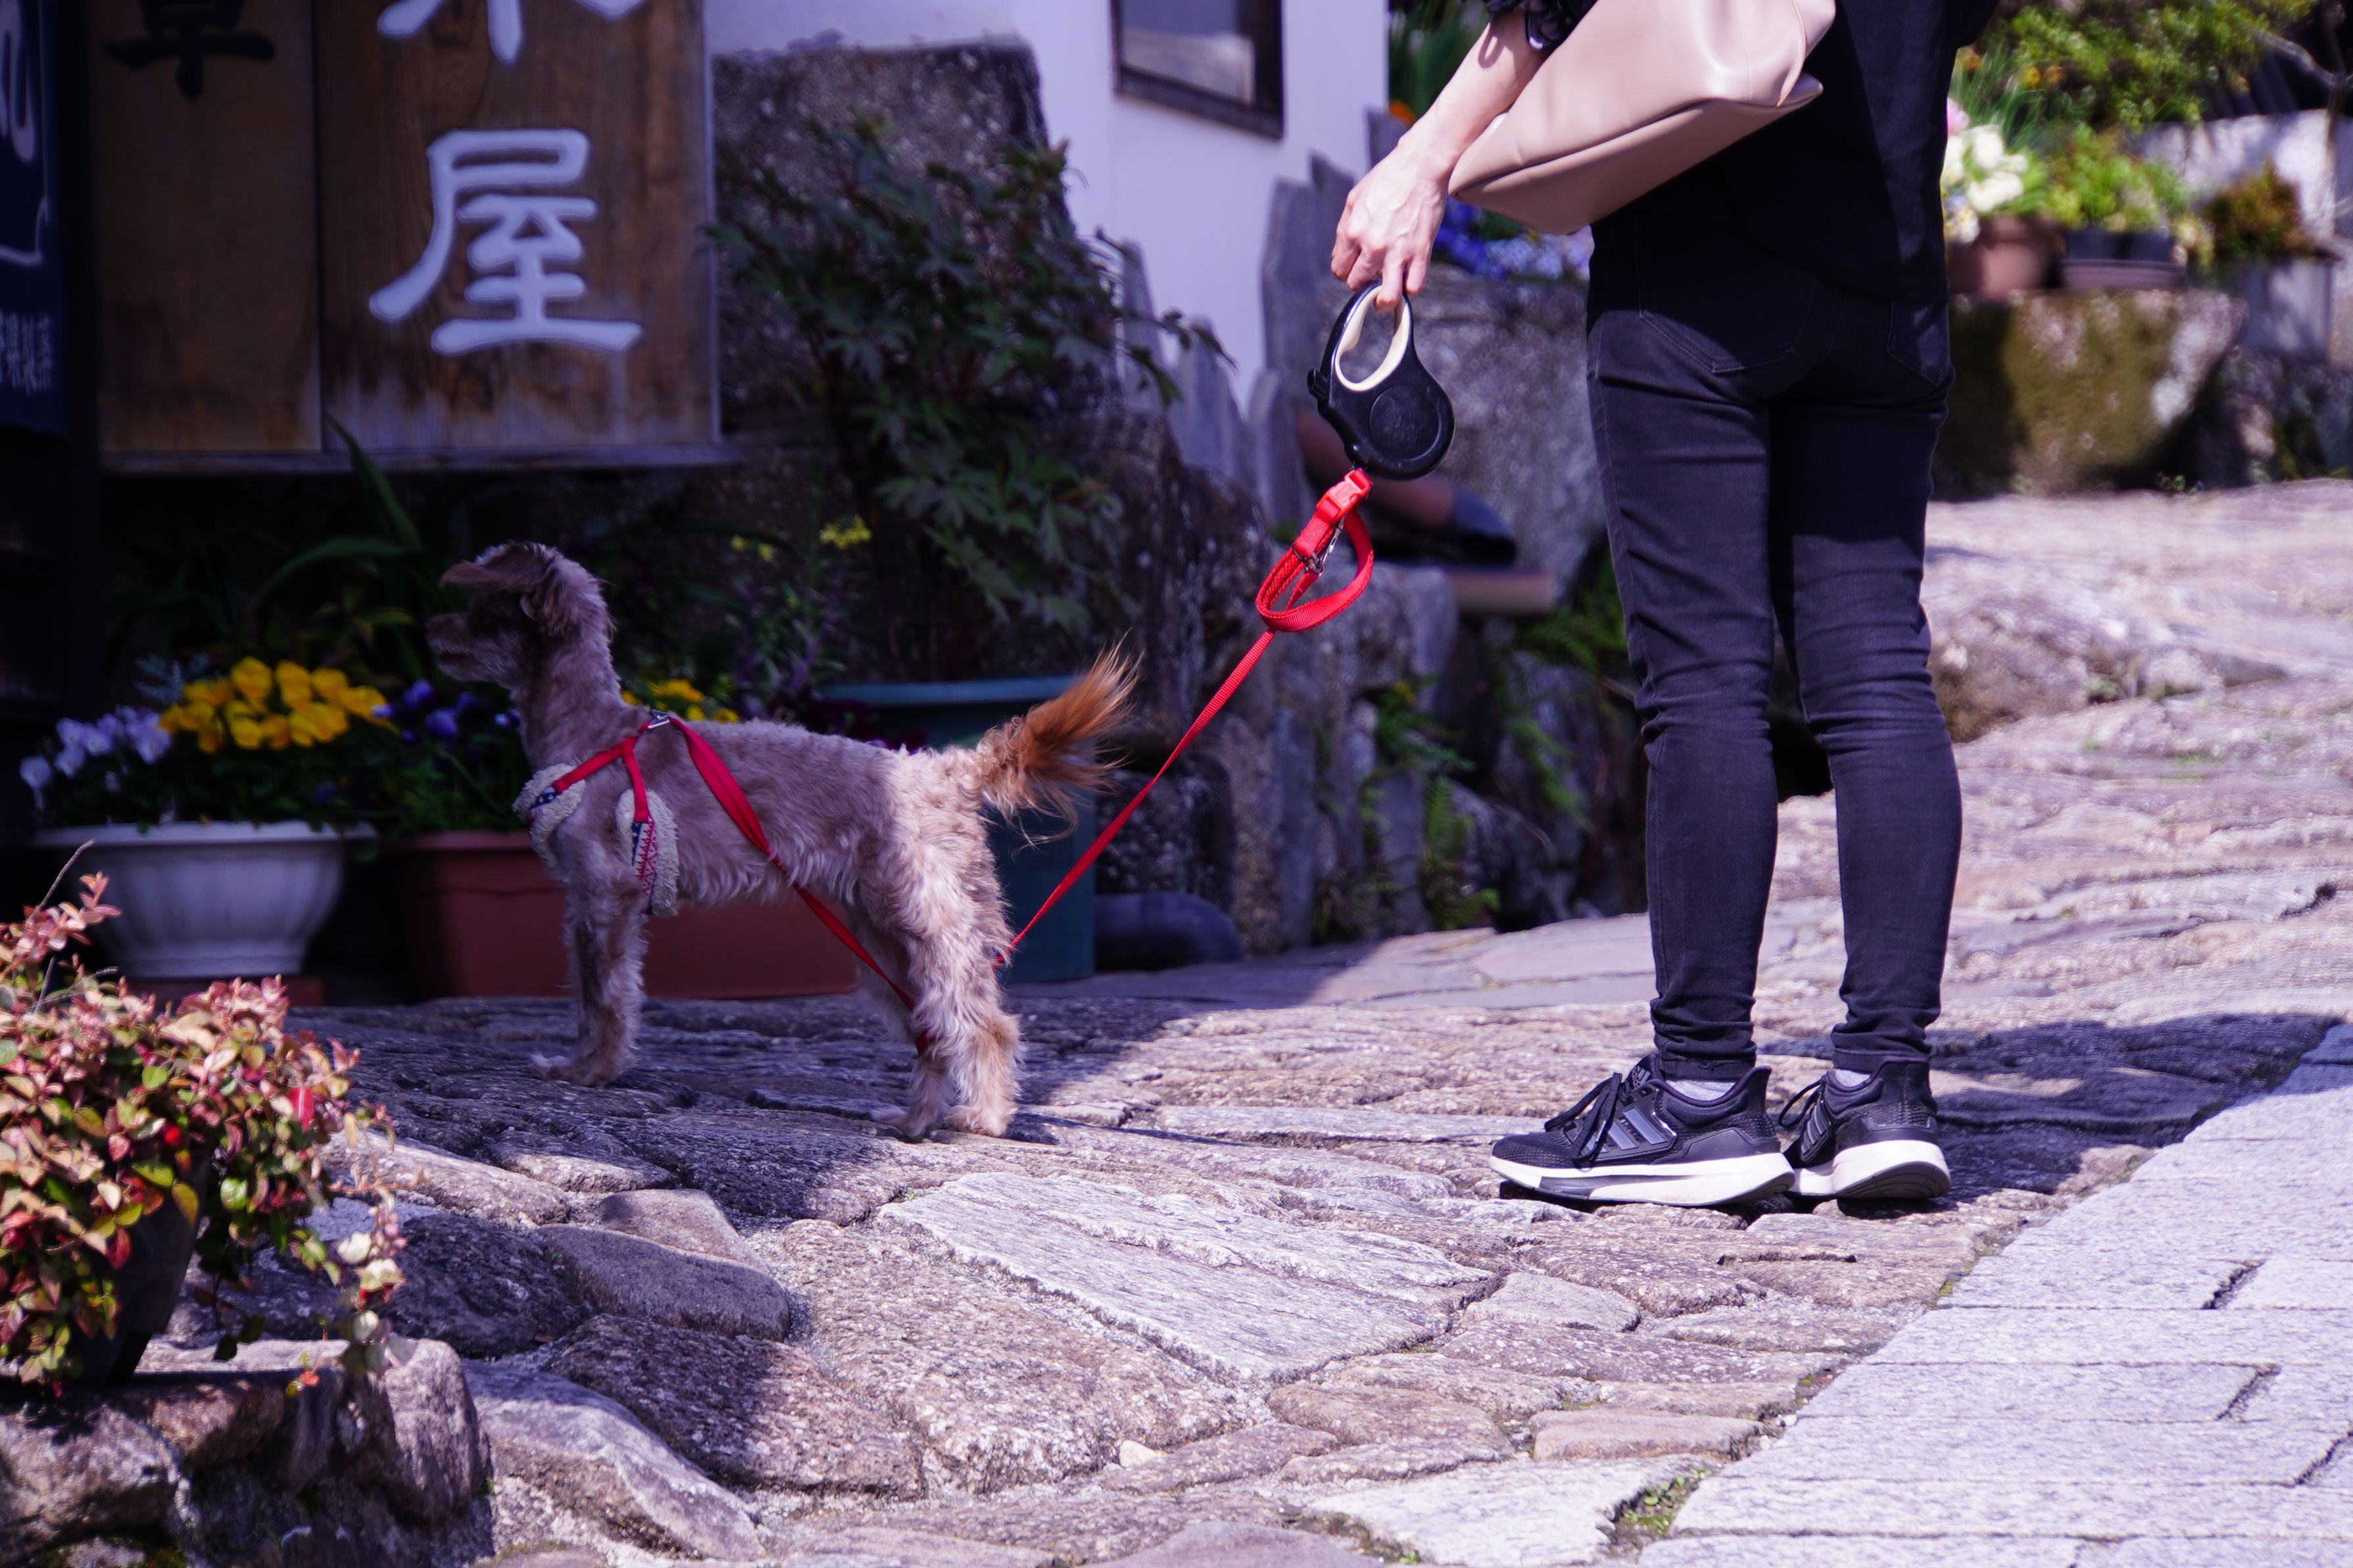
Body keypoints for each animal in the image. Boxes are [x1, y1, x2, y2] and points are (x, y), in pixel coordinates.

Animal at [426, 542, 1131, 1139]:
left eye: (482, 612)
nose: (430, 628)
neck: (594, 734)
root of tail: (944, 770)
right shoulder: (587, 904)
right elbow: (591, 991)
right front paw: (586, 1066)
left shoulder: (605, 896)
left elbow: (604, 996)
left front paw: (589, 1073)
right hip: (882, 938)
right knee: (930, 1025)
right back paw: (914, 1120)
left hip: (932, 924)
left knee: (983, 1024)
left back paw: (982, 1116)